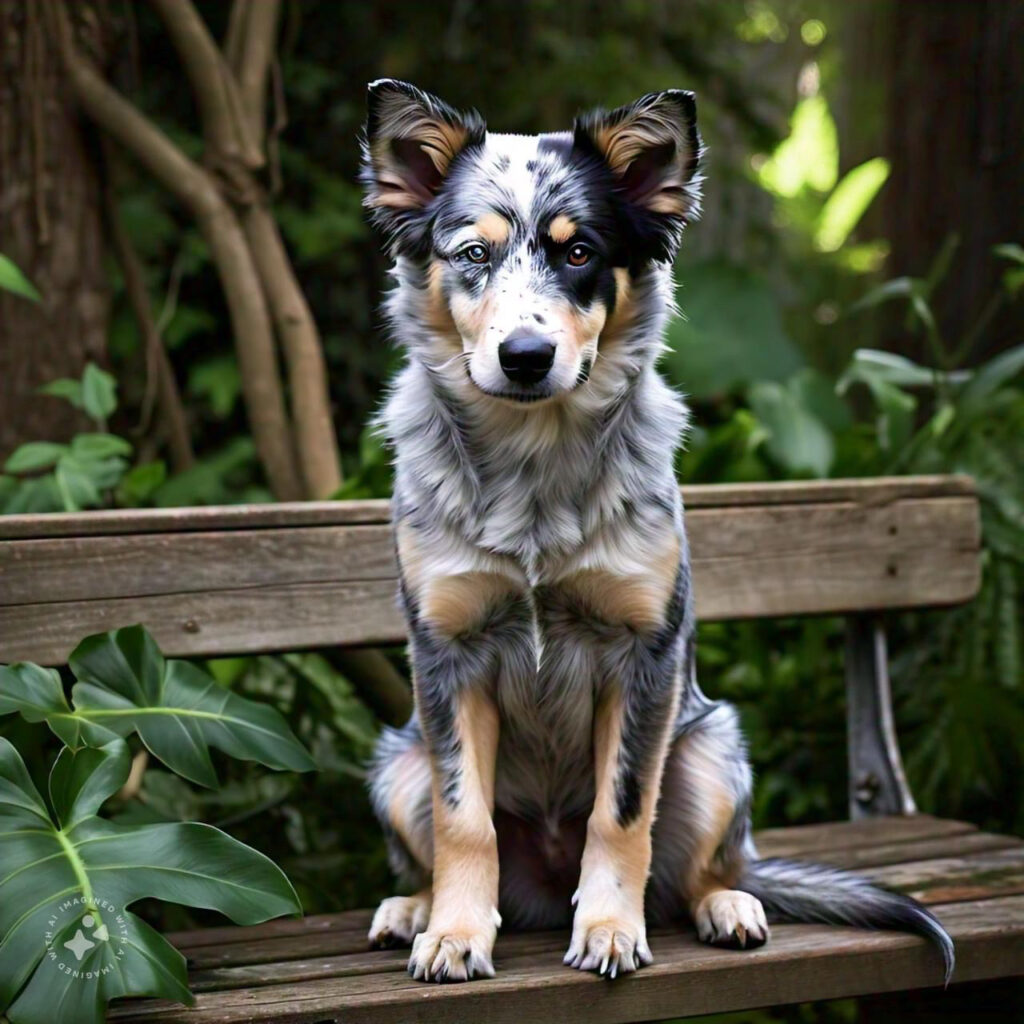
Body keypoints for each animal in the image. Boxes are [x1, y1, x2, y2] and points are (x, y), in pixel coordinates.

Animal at [358, 79, 950, 983]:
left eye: (578, 253)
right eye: (472, 255)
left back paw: (728, 905)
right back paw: (413, 908)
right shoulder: (447, 655)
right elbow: (466, 821)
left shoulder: (644, 653)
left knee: (701, 871)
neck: (534, 466)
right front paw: (456, 932)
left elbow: (622, 812)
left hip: (711, 752)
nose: (525, 355)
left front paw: (608, 928)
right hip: (398, 765)